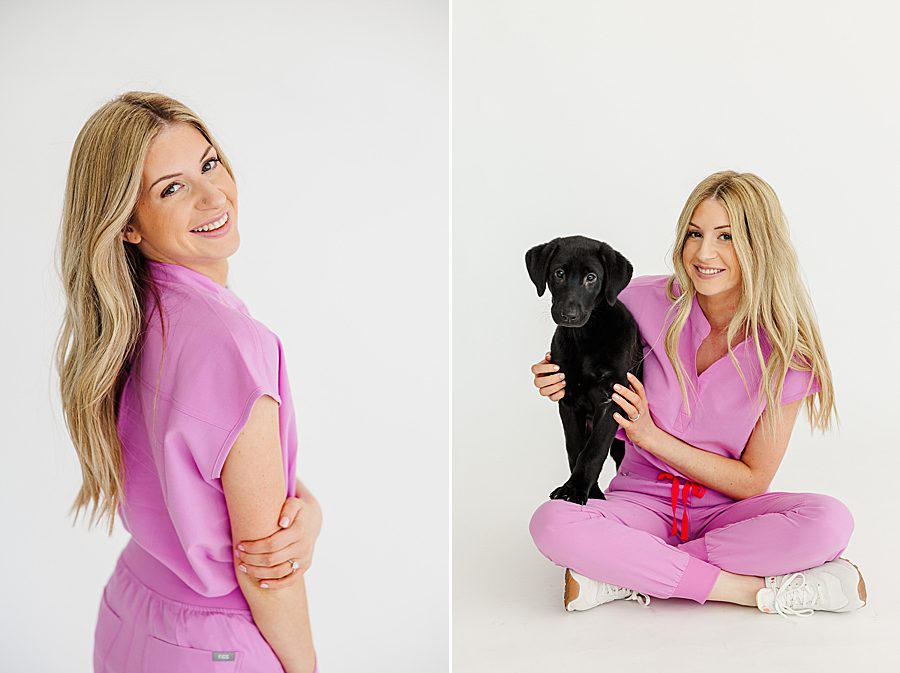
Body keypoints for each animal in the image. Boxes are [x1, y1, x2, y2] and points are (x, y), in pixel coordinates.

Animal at [524, 236, 644, 504]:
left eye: (591, 277)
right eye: (558, 273)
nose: (568, 315)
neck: (585, 336)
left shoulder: (612, 398)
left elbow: (593, 451)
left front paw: (577, 489)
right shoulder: (568, 401)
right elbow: (576, 449)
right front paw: (583, 491)